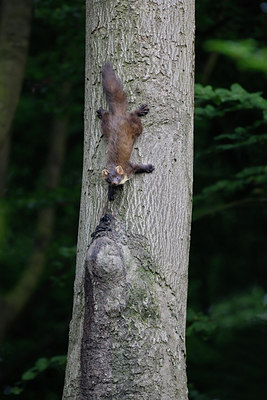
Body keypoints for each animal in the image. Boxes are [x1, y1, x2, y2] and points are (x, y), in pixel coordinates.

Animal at [97, 63, 155, 202]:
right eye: (108, 180)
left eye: (117, 177)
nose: (114, 183)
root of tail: (118, 115)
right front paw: (111, 194)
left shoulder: (129, 166)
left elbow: (138, 167)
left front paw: (149, 167)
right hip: (106, 126)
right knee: (107, 115)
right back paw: (101, 112)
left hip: (136, 126)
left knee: (133, 114)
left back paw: (141, 110)